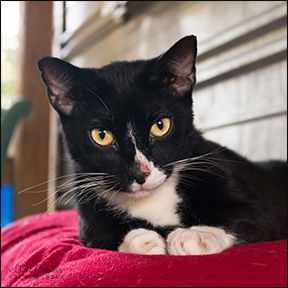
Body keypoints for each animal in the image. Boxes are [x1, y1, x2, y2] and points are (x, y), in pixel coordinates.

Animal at [37, 35, 286, 254]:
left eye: (160, 125)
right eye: (101, 135)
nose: (140, 173)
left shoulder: (254, 204)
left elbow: (249, 217)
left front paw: (195, 236)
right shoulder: (87, 215)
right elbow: (99, 235)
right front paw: (142, 240)